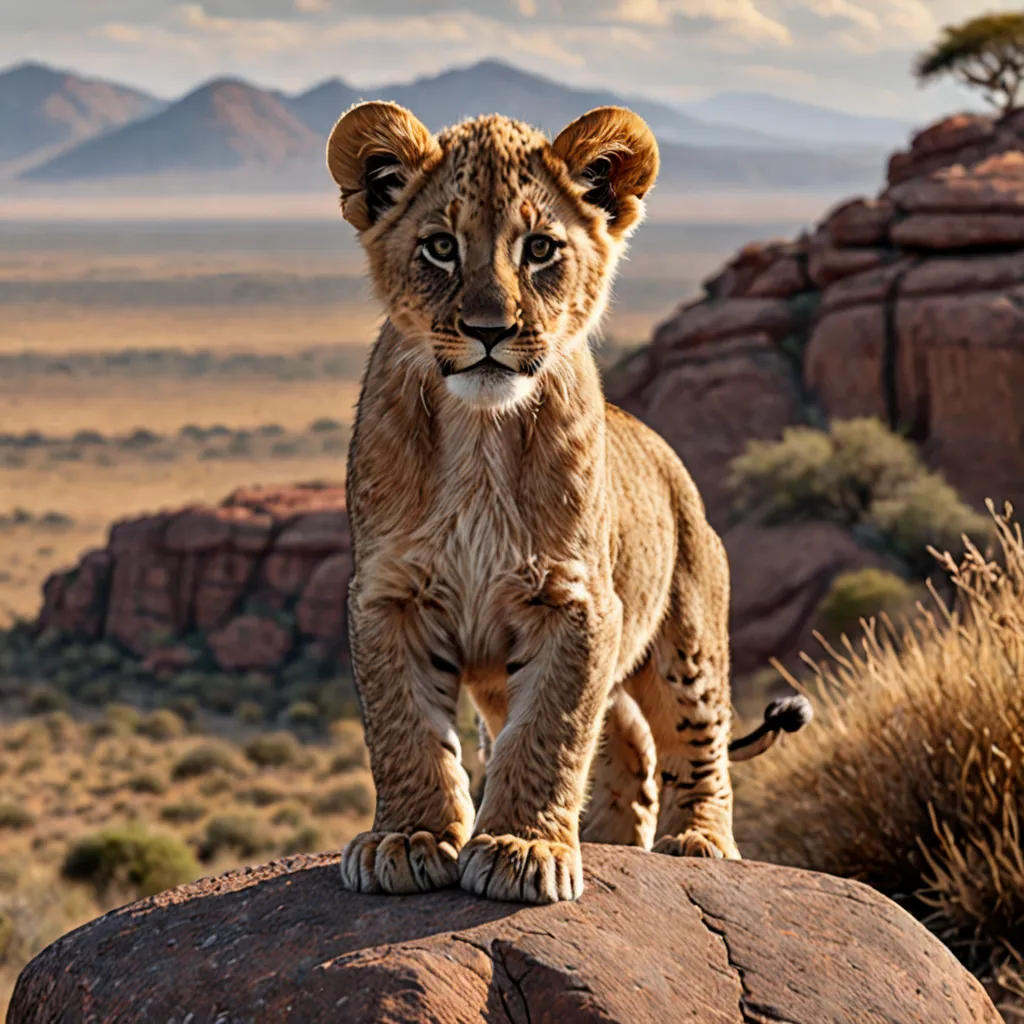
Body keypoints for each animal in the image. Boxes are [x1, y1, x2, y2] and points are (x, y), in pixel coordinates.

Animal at [327, 101, 810, 905]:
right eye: (439, 247)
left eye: (541, 248)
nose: (489, 330)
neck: (481, 431)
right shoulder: (387, 596)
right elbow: (406, 728)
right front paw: (411, 837)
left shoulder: (578, 601)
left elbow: (548, 732)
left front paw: (524, 848)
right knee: (627, 745)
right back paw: (614, 839)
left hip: (686, 640)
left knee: (693, 742)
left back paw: (698, 843)